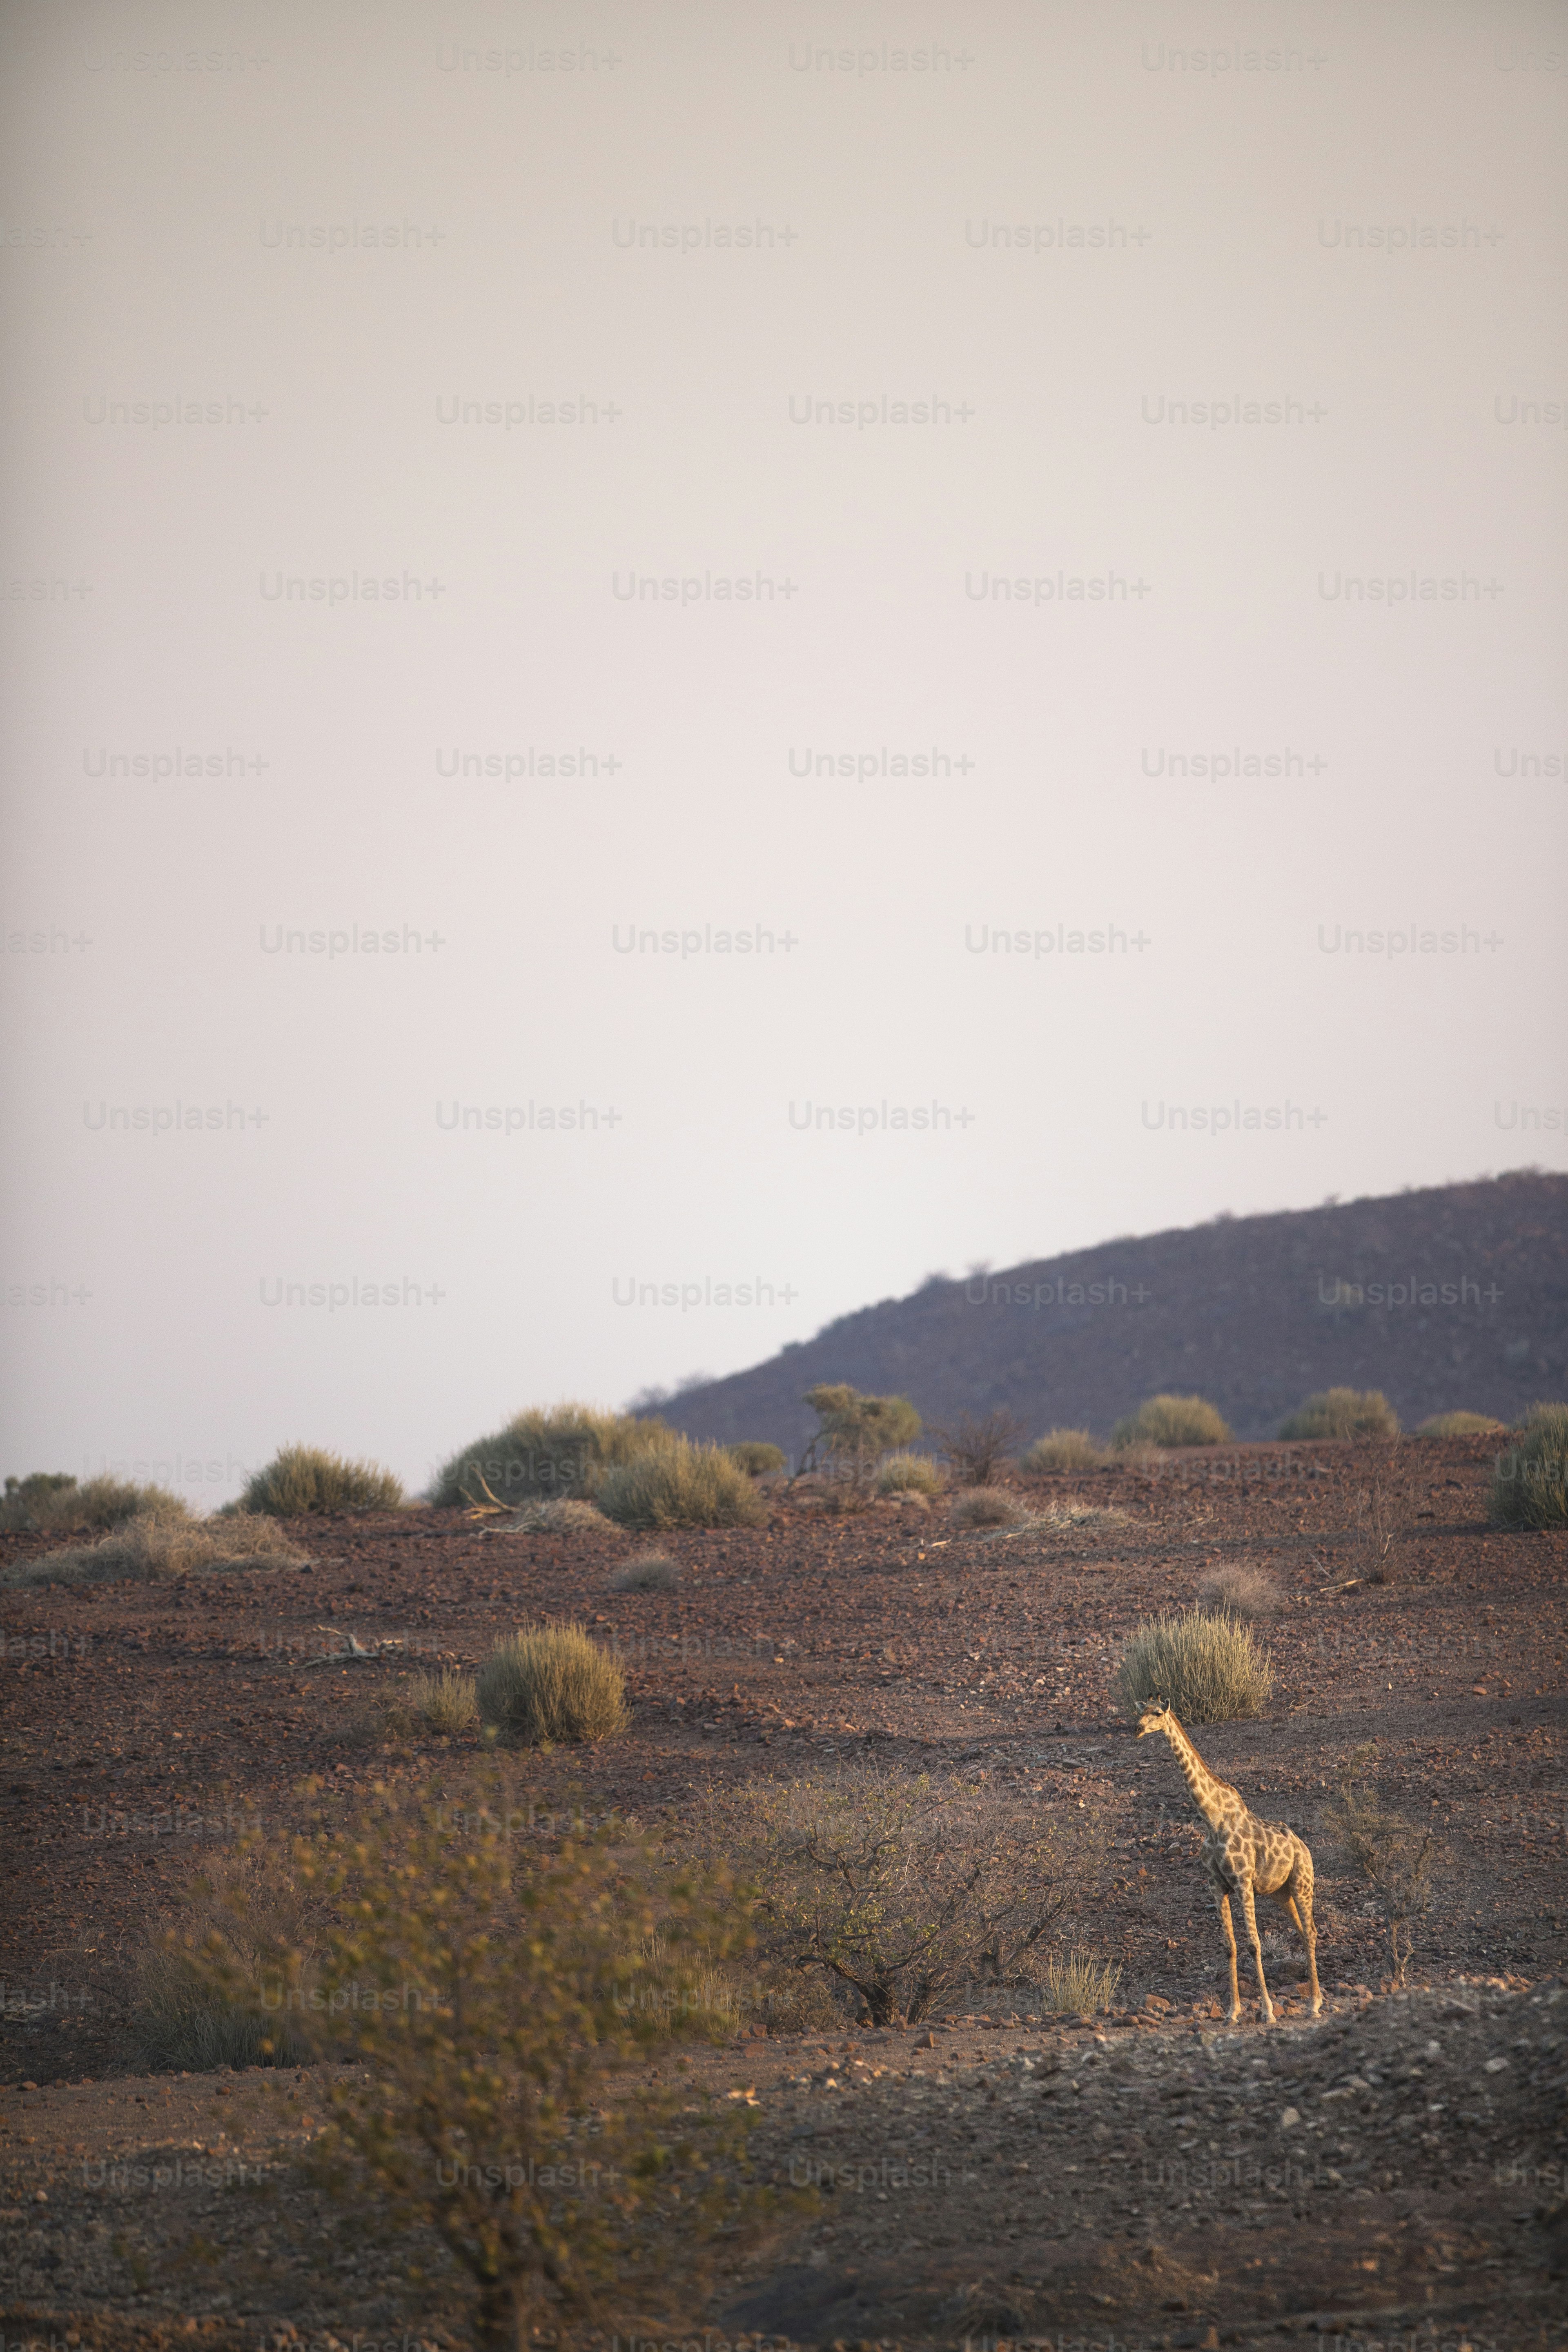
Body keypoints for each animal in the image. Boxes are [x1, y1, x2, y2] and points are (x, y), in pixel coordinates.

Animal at [1136, 1698, 1322, 2025]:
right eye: (1140, 1711)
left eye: (1157, 1713)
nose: (1137, 1729)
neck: (1212, 1818)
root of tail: (1304, 1847)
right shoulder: (1216, 1885)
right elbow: (1229, 1946)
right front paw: (1232, 2012)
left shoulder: (1243, 1882)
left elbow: (1254, 1945)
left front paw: (1267, 2012)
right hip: (1281, 1893)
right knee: (1303, 1932)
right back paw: (1314, 2000)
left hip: (1303, 1883)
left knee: (1311, 1932)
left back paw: (1315, 2005)